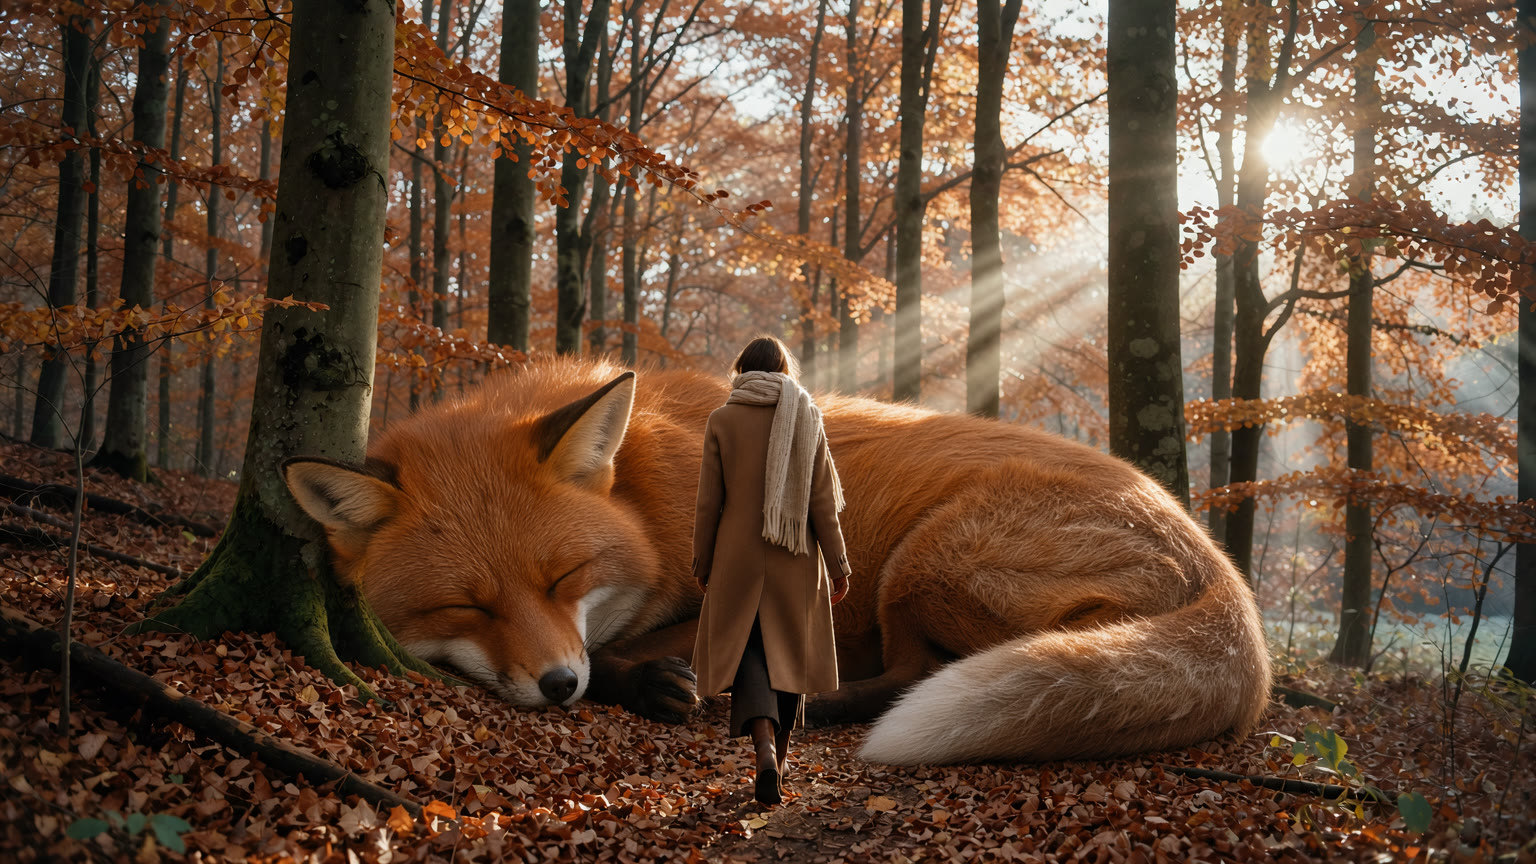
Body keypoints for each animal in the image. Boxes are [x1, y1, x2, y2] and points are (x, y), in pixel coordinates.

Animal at [283, 357, 1272, 764]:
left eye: (564, 579)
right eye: (467, 609)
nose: (559, 685)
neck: (651, 490)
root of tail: (1219, 566)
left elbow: (641, 646)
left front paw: (643, 680)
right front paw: (637, 681)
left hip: (923, 560)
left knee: (914, 674)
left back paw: (815, 705)